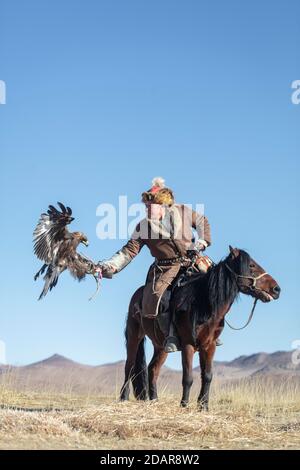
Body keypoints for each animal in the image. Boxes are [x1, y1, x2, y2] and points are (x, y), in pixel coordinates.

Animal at [120, 248, 282, 410]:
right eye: (251, 265)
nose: (276, 289)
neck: (203, 304)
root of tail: (137, 295)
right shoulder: (188, 345)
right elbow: (188, 377)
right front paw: (184, 405)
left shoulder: (209, 346)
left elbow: (208, 376)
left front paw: (203, 406)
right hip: (134, 336)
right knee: (130, 366)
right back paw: (124, 397)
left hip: (161, 346)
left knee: (153, 369)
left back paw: (154, 400)